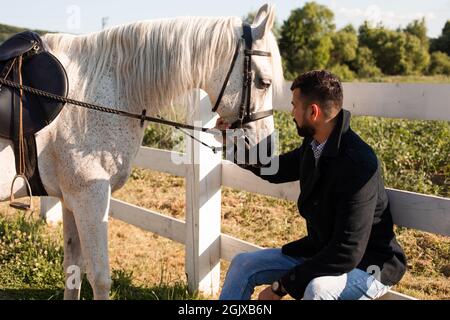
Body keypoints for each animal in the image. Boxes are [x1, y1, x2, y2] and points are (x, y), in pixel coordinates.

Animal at [0, 4, 284, 300]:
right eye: (264, 82)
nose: (265, 149)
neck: (89, 95)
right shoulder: (90, 197)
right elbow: (99, 278)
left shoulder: (71, 199)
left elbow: (73, 269)